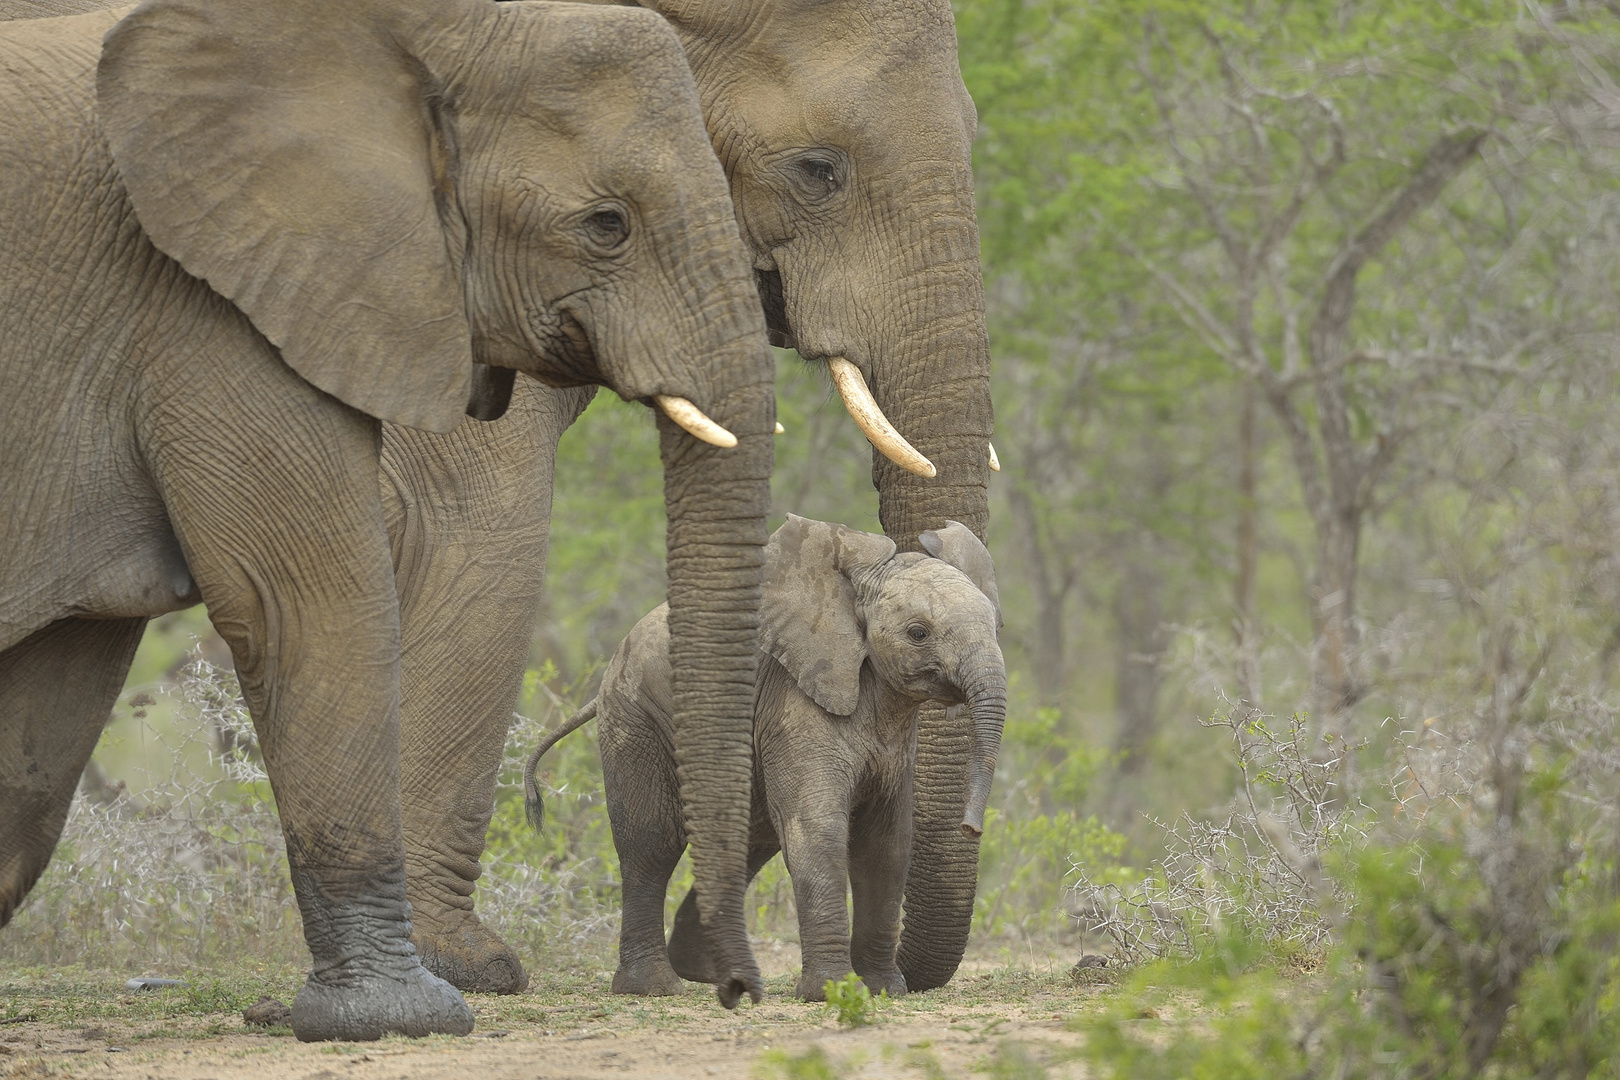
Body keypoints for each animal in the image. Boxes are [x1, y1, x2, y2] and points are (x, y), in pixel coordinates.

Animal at [0, 0, 774, 1036]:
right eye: (606, 224)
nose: (737, 990)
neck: (419, 30)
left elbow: (47, 706)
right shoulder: (218, 305)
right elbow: (303, 602)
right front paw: (405, 1012)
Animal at [524, 514, 1004, 997]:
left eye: (996, 627)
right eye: (918, 633)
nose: (971, 828)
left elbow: (885, 845)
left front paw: (883, 990)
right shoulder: (794, 702)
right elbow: (817, 828)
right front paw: (830, 991)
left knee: (747, 838)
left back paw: (708, 973)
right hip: (636, 714)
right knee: (652, 841)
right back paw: (654, 986)